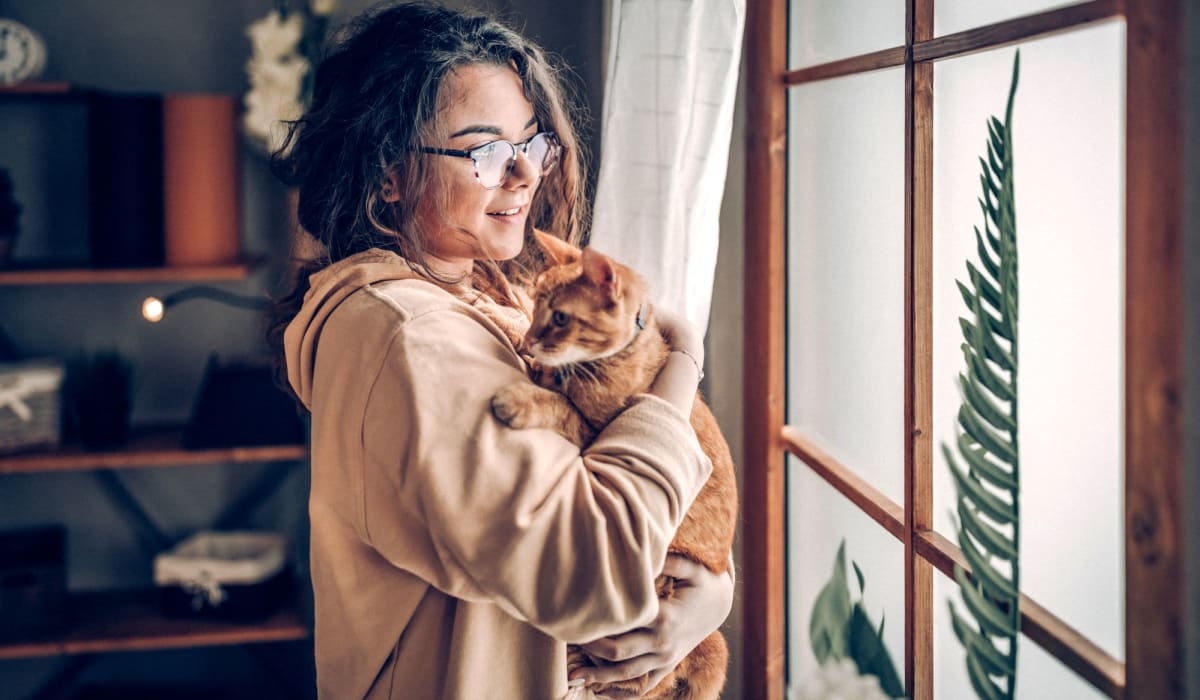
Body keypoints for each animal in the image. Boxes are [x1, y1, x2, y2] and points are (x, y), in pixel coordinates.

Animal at [489, 231, 734, 700]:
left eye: (560, 317)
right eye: (536, 306)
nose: (530, 340)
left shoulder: (594, 437)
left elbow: (559, 406)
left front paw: (520, 398)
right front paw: (507, 326)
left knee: (635, 679)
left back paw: (582, 667)